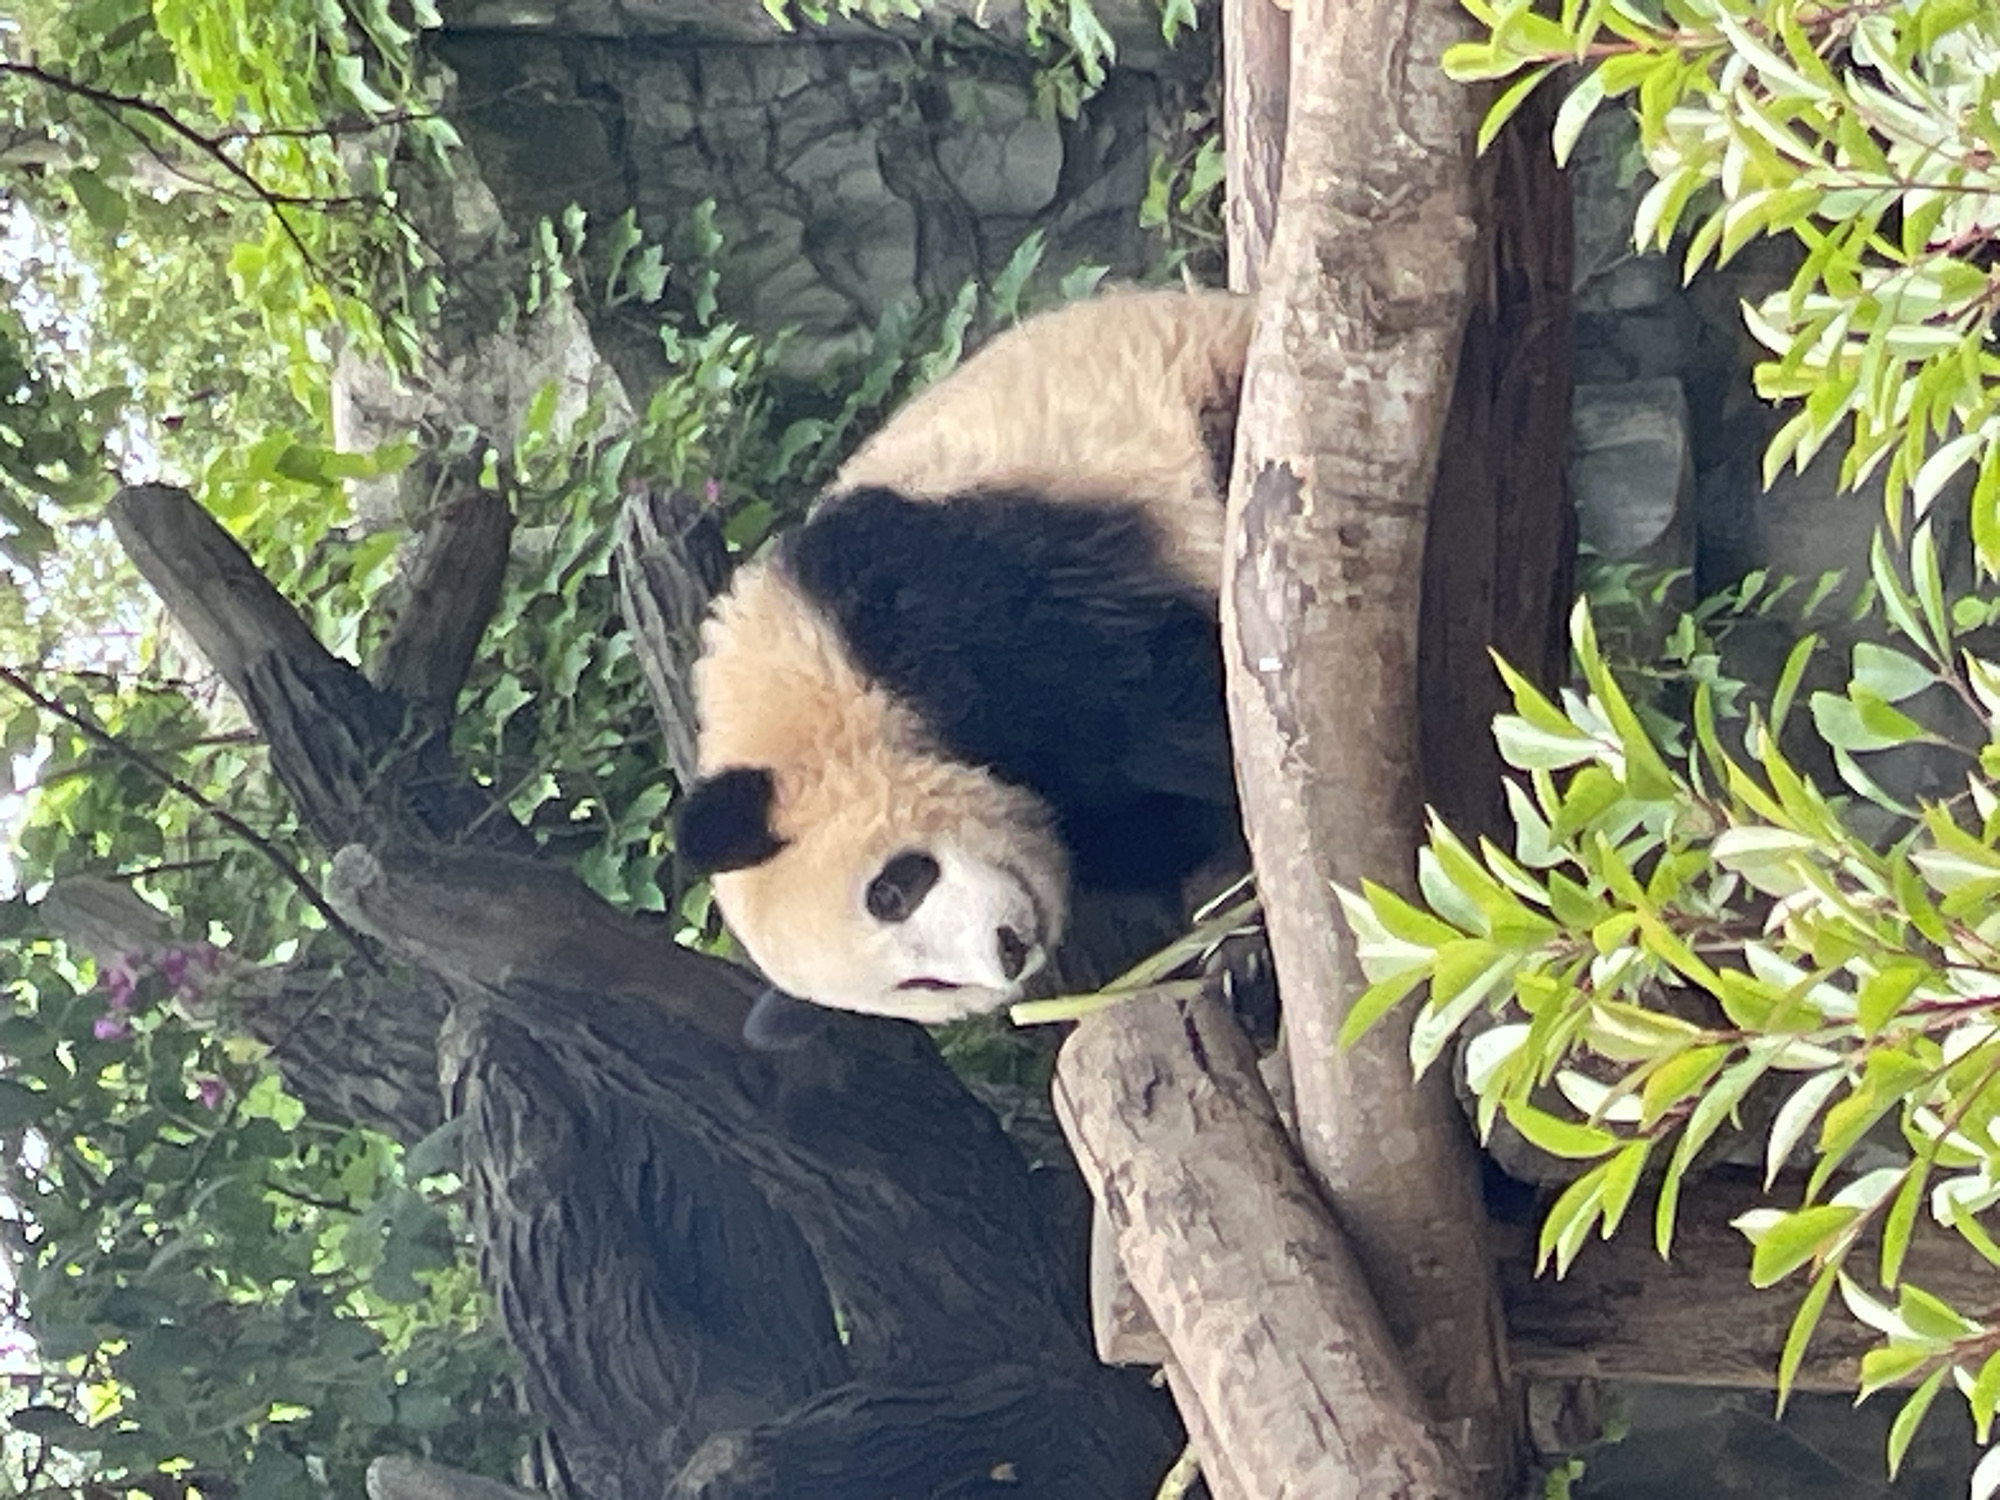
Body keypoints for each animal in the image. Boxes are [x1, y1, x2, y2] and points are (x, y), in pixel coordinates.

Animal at [674, 288, 1257, 1026]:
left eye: (891, 892)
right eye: (923, 986)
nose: (1008, 951)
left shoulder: (930, 597)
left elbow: (1157, 701)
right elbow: (1154, 829)